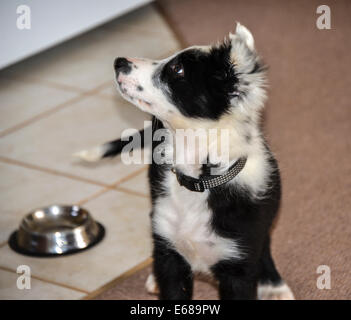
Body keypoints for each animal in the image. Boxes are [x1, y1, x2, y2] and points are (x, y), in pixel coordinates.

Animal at [76, 23, 294, 300]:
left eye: (177, 70)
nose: (119, 62)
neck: (200, 181)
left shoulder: (238, 265)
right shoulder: (170, 255)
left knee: (265, 243)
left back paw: (274, 285)